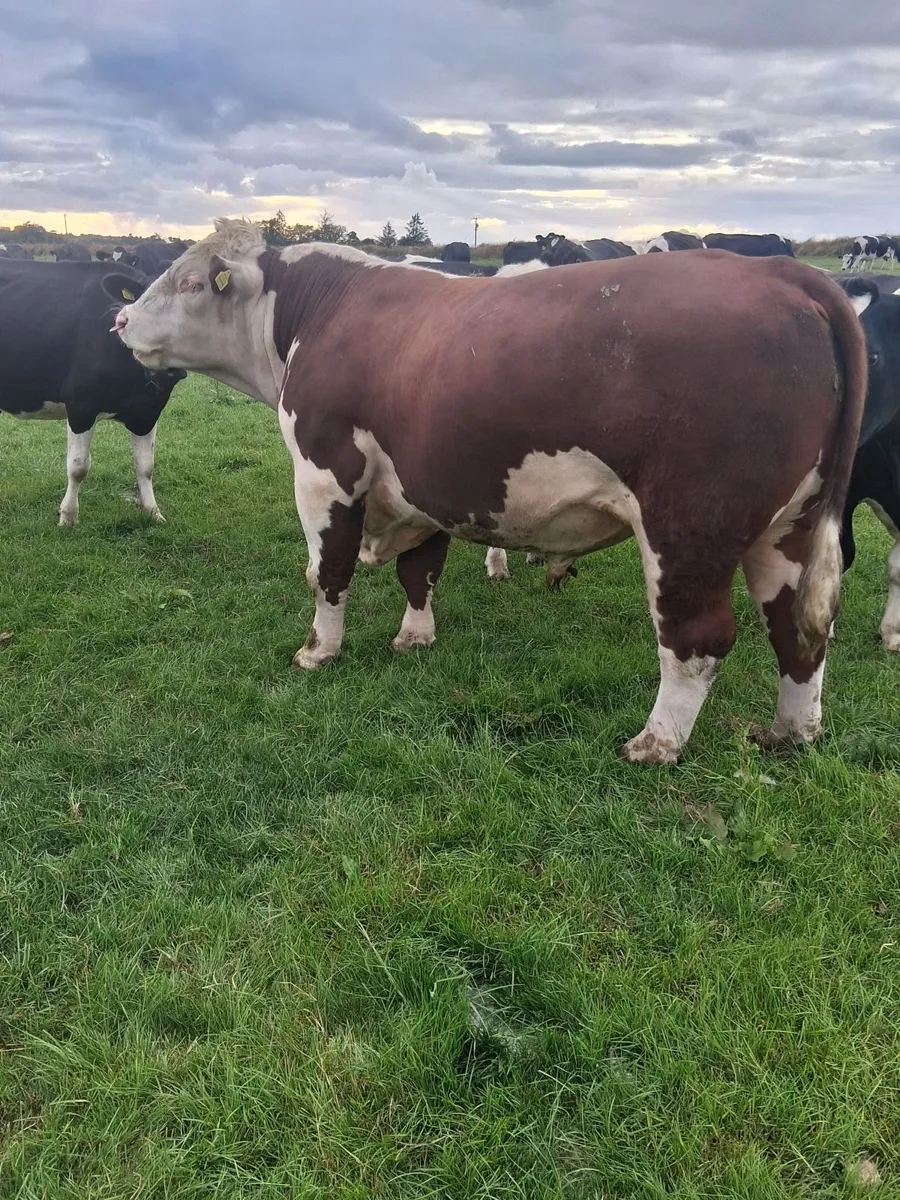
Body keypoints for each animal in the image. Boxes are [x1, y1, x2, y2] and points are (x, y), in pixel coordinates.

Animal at [0, 260, 185, 524]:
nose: (171, 368)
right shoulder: (80, 404)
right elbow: (78, 467)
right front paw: (68, 517)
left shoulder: (149, 409)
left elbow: (146, 465)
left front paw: (152, 512)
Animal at [112, 219, 866, 764]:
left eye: (187, 280)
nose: (119, 324)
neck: (314, 312)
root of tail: (787, 273)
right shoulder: (425, 480)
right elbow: (421, 569)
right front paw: (414, 637)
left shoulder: (325, 472)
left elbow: (326, 571)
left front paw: (318, 651)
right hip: (789, 527)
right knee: (798, 628)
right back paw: (789, 732)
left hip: (689, 527)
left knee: (699, 639)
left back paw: (655, 744)